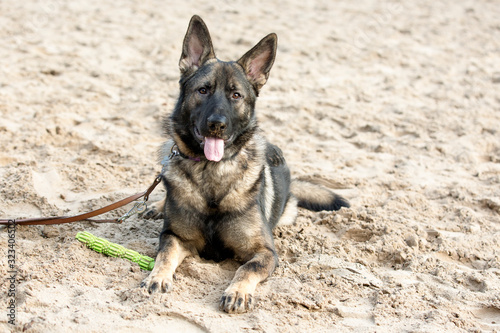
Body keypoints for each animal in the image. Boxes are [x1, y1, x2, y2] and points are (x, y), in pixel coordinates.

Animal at [141, 14, 350, 312]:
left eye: (236, 95)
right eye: (203, 90)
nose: (217, 124)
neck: (212, 173)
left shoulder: (264, 251)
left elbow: (246, 269)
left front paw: (237, 292)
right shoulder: (175, 237)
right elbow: (166, 254)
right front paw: (156, 277)